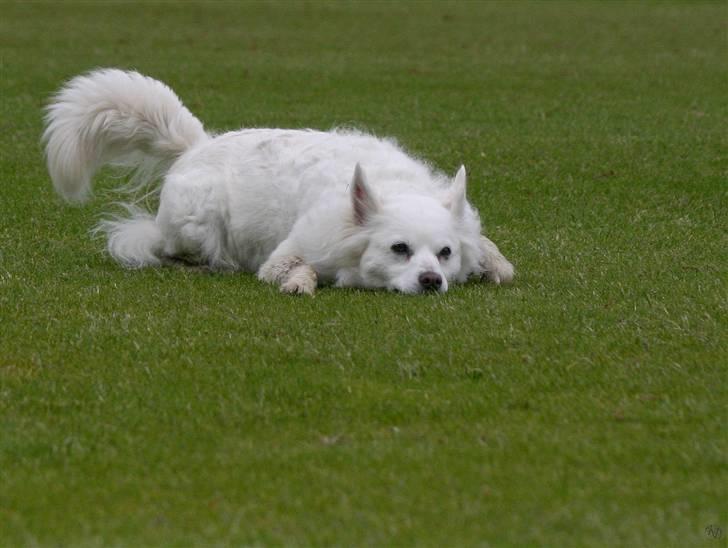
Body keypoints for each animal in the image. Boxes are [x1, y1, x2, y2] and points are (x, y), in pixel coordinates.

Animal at [44, 71, 512, 298]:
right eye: (400, 249)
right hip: (197, 226)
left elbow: (497, 260)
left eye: (445, 253)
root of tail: (199, 143)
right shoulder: (287, 252)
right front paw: (300, 283)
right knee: (154, 243)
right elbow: (295, 268)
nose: (432, 280)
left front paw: (493, 265)